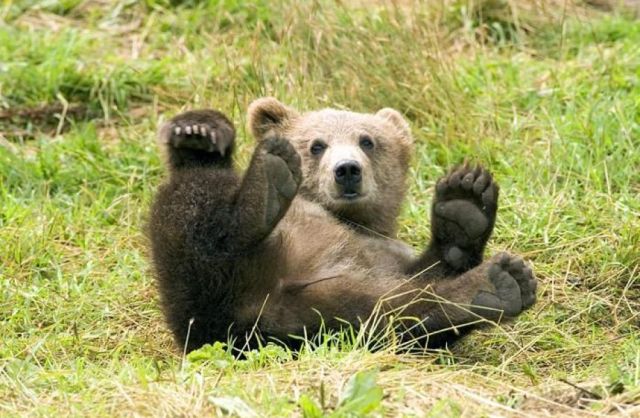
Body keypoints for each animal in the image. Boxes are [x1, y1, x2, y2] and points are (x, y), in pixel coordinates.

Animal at [148, 98, 537, 353]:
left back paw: (495, 284)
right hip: (198, 287)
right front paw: (198, 129)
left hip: (323, 312)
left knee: (396, 313)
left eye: (367, 140)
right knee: (194, 207)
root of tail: (254, 310)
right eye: (317, 145)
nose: (347, 169)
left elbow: (427, 275)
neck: (349, 219)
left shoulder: (383, 253)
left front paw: (464, 202)